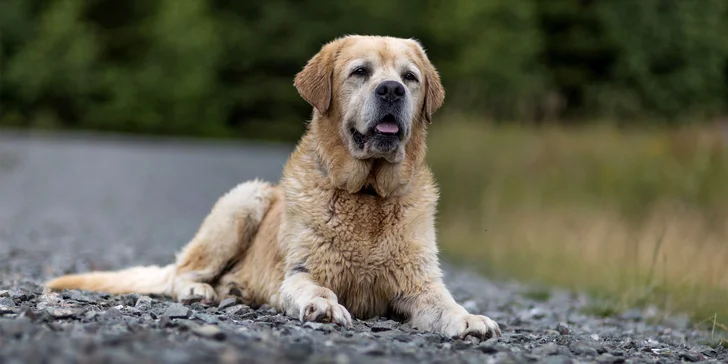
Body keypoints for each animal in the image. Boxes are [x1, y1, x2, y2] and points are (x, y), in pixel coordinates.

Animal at [44, 34, 500, 342]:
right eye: (360, 72)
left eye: (410, 77)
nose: (392, 89)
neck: (368, 194)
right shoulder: (301, 272)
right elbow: (315, 287)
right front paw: (324, 305)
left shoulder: (418, 283)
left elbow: (445, 303)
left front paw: (471, 319)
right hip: (246, 199)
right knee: (179, 274)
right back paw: (199, 290)